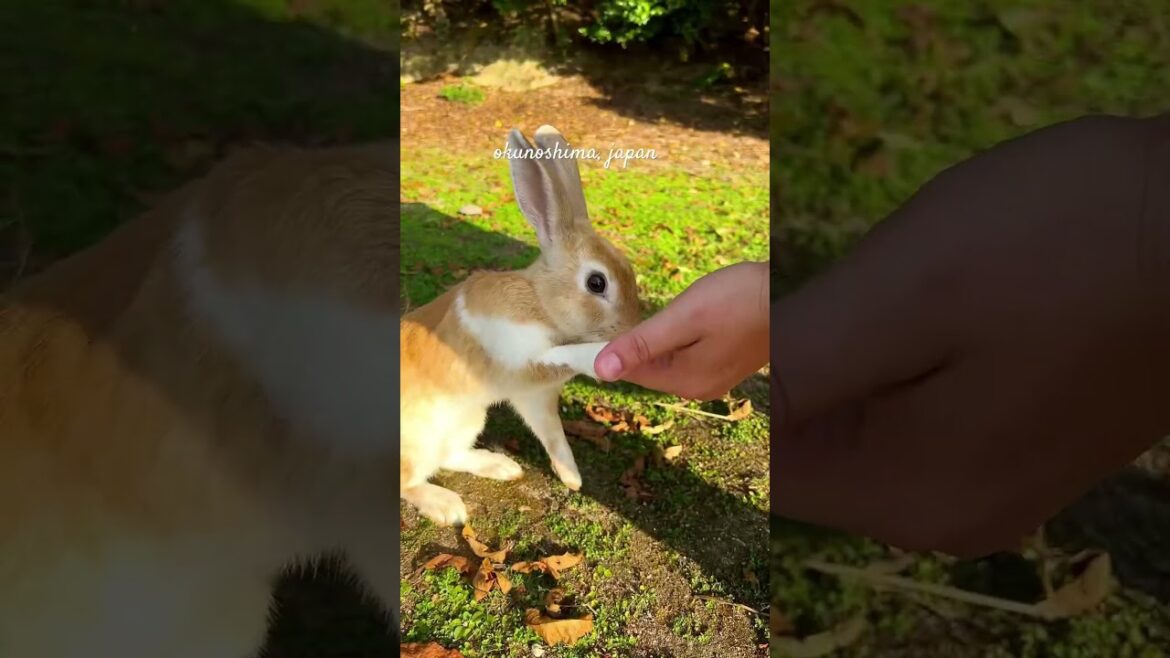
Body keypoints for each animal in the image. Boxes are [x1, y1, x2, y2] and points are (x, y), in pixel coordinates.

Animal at [400, 124, 642, 526]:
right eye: (597, 283)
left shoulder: (536, 397)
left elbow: (554, 435)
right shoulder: (519, 363)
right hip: (416, 443)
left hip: (468, 421)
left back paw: (501, 467)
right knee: (408, 481)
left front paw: (572, 478)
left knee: (450, 456)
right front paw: (597, 355)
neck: (541, 302)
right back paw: (448, 507)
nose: (627, 331)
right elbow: (557, 358)